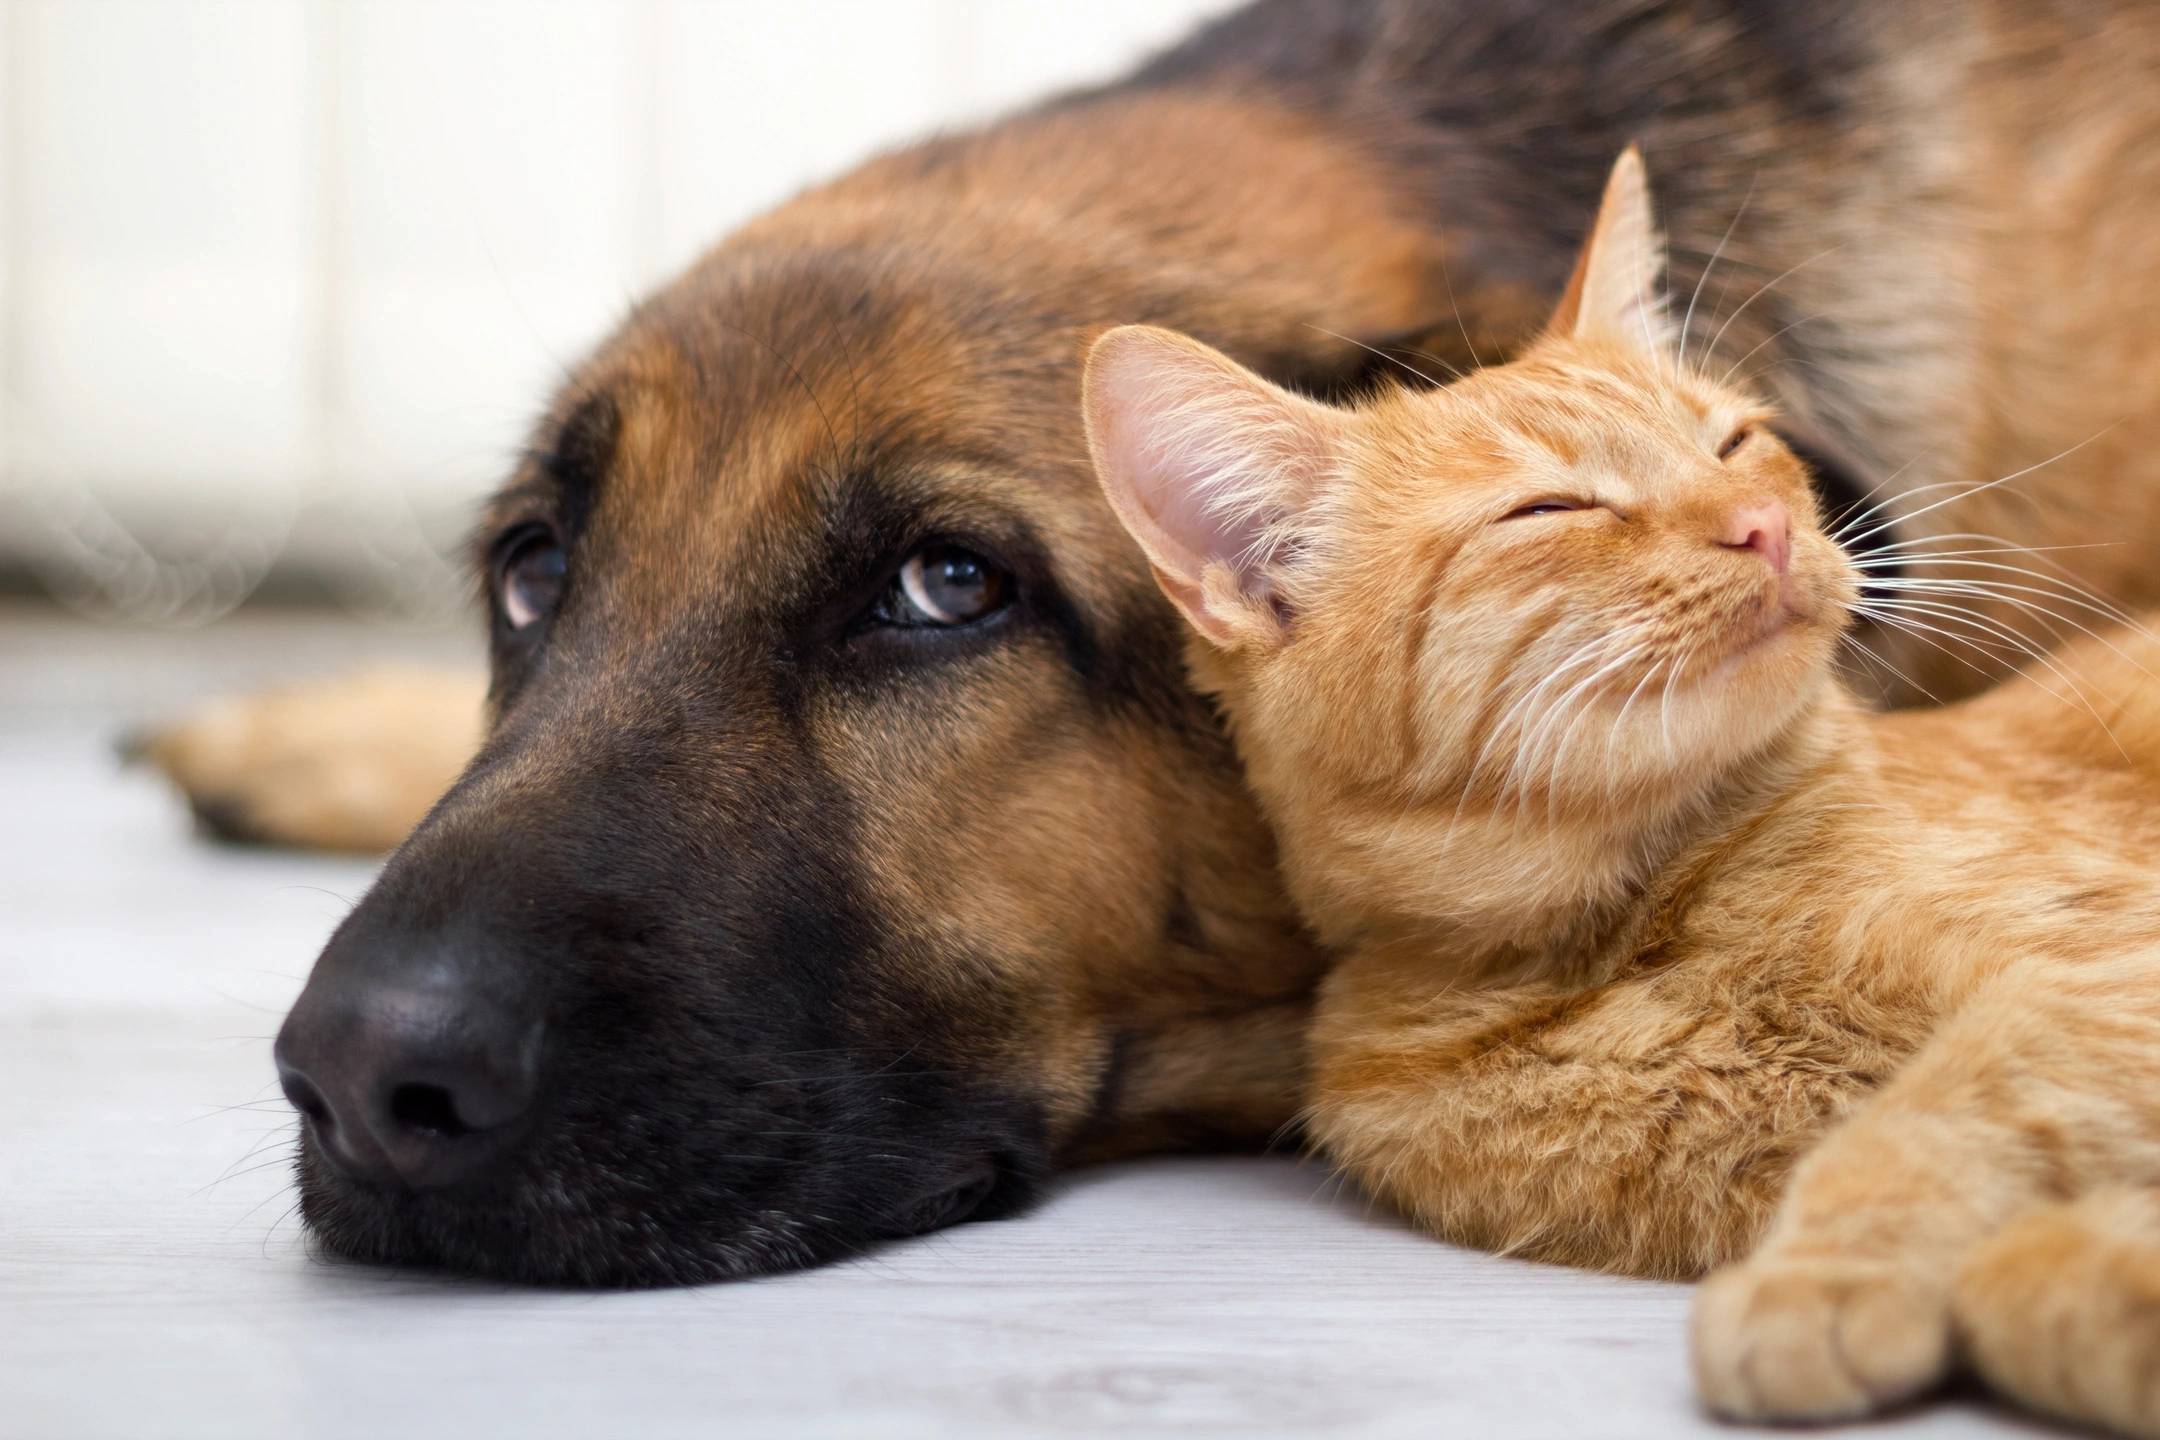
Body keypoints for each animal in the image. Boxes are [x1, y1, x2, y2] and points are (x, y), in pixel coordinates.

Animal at [1088, 148, 2160, 1440]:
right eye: (1554, 509)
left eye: (1735, 443)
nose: (1762, 528)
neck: (1639, 931)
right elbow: (2024, 1255)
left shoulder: (2107, 971)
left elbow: (1952, 1106)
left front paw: (1820, 1276)